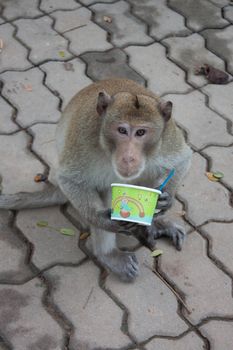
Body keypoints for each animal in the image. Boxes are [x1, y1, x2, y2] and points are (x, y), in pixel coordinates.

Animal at [0, 78, 191, 282]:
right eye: (122, 130)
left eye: (141, 132)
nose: (129, 158)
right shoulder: (84, 139)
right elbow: (70, 180)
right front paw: (104, 220)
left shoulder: (167, 136)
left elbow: (182, 160)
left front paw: (166, 199)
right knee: (104, 187)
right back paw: (108, 254)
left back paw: (156, 223)